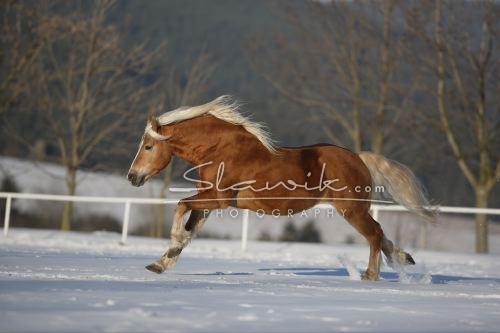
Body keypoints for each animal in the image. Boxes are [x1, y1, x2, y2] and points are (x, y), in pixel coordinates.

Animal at [128, 94, 434, 278]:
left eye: (148, 146)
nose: (132, 177)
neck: (219, 149)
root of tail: (358, 157)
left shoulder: (218, 198)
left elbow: (181, 207)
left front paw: (168, 251)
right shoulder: (209, 202)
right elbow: (190, 230)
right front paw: (161, 262)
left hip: (352, 210)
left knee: (375, 234)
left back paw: (371, 275)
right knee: (381, 236)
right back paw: (403, 258)